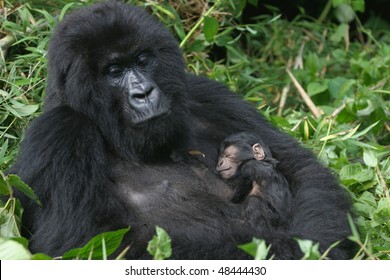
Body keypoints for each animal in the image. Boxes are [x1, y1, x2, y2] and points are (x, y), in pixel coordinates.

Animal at [11, 1, 354, 260]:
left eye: (143, 60)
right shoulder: (60, 132)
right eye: (114, 71)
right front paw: (289, 250)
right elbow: (86, 241)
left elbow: (303, 173)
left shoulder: (206, 93)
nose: (144, 93)